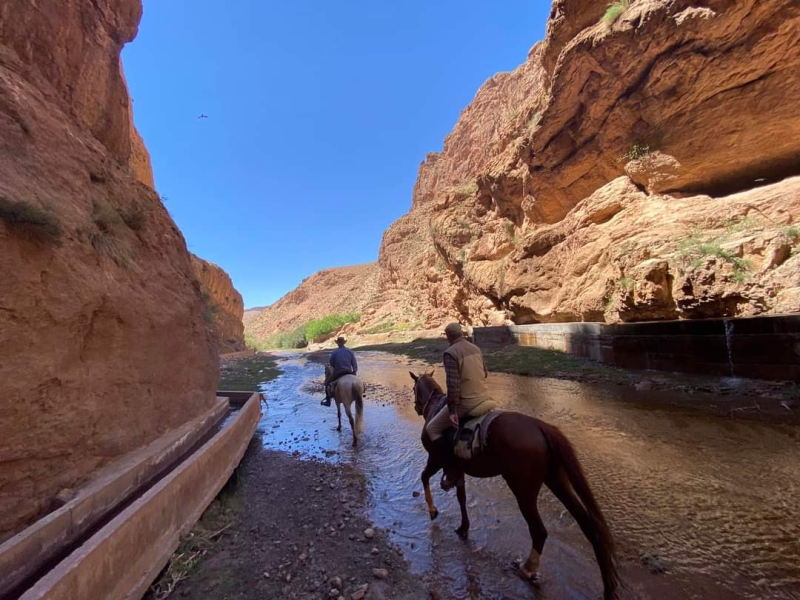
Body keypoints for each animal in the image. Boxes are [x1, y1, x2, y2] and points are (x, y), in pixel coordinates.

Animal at [410, 370, 620, 600]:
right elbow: (462, 498)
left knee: (539, 530)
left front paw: (433, 511)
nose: (417, 407)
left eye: (414, 389)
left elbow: (424, 477)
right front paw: (463, 527)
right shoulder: (459, 470)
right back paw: (608, 587)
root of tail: (541, 427)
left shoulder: (435, 459)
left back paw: (528, 569)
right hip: (556, 480)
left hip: (523, 490)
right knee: (590, 527)